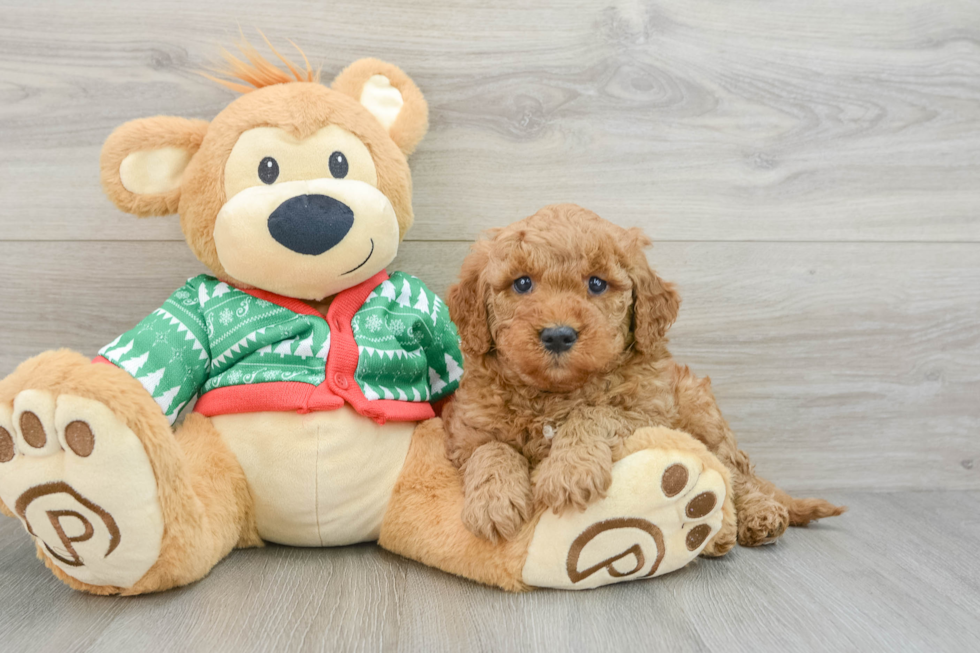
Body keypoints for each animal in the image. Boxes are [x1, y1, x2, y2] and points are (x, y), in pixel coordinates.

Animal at [444, 204, 844, 552]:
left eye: (597, 284)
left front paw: (569, 471)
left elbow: (593, 413)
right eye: (522, 283)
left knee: (735, 473)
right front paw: (493, 503)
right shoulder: (466, 431)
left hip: (701, 412)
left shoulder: (648, 414)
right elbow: (491, 449)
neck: (557, 392)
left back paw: (760, 516)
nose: (558, 335)